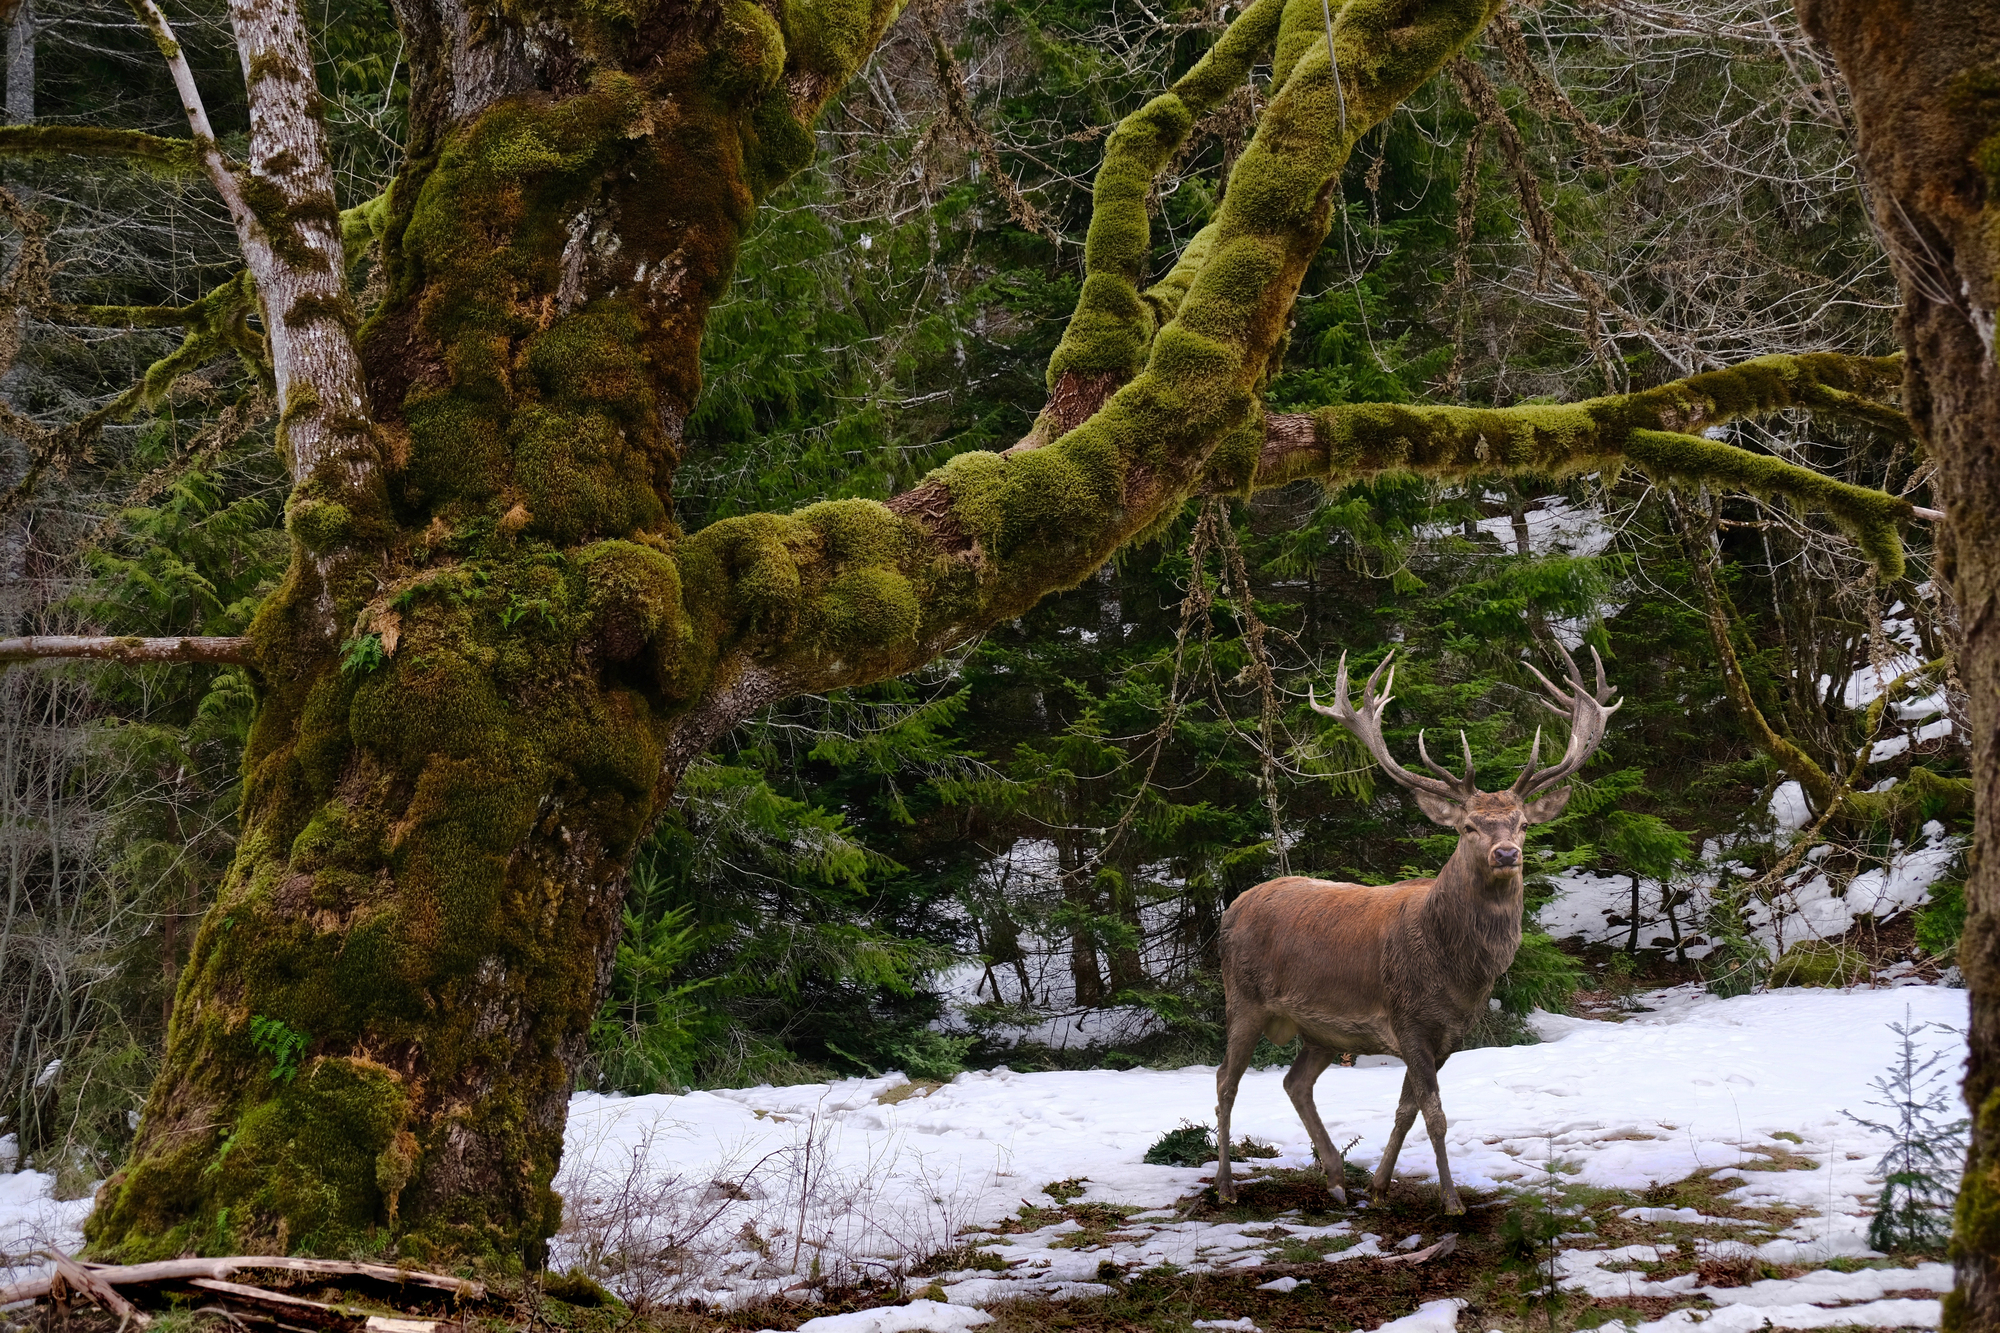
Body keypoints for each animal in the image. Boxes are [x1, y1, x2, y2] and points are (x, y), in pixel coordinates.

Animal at [1212, 644, 1619, 1214]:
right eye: (1468, 826)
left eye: (1522, 824)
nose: (1506, 854)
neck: (1457, 971)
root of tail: (1231, 909)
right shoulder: (1407, 1019)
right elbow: (1435, 1115)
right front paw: (1451, 1201)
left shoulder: (1448, 1034)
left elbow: (1406, 1110)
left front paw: (1380, 1187)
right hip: (1242, 997)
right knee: (1226, 1081)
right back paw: (1226, 1186)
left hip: (1319, 1029)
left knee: (1295, 1082)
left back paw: (1336, 1178)